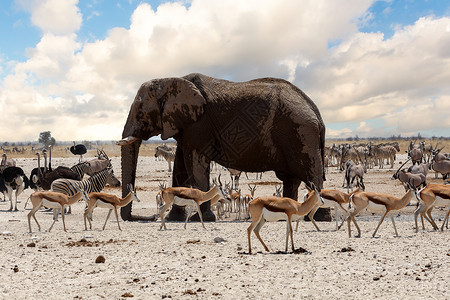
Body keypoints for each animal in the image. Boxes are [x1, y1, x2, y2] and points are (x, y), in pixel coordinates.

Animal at [118, 74, 326, 221]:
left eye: (140, 113)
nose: (147, 217)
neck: (170, 80)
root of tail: (315, 110)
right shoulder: (186, 127)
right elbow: (180, 168)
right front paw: (174, 219)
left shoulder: (199, 125)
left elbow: (195, 164)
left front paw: (200, 219)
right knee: (291, 180)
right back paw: (287, 215)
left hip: (301, 134)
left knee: (311, 176)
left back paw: (318, 217)